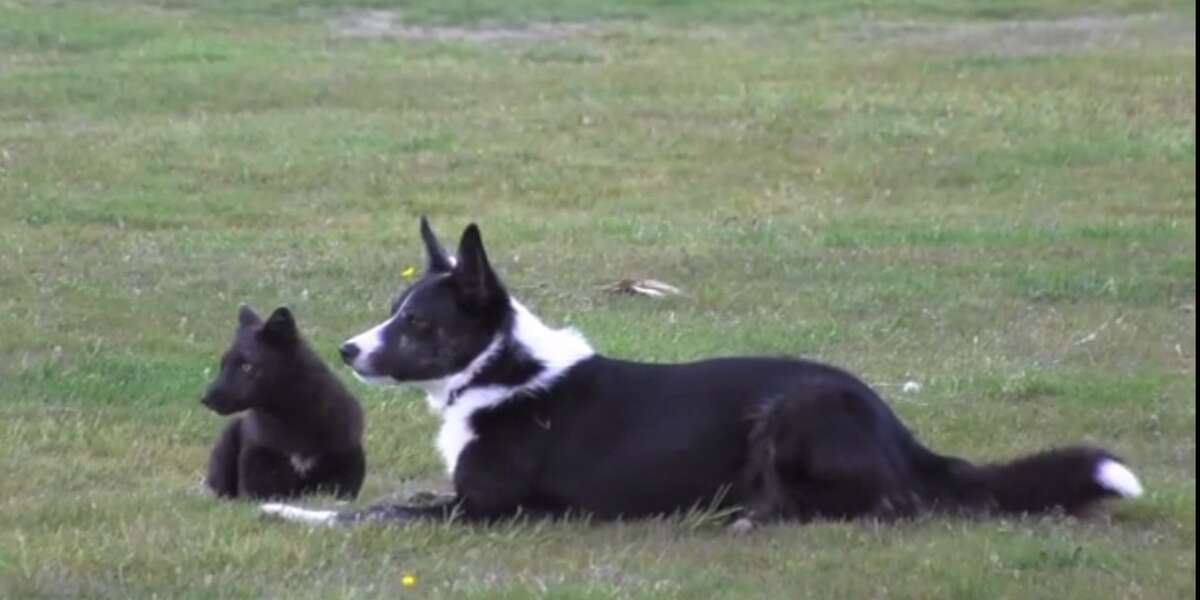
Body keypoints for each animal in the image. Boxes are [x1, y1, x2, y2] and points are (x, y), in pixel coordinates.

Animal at [202, 307, 364, 499]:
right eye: (223, 365)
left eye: (246, 367)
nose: (205, 399)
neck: (293, 419)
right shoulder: (259, 474)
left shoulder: (344, 470)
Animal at [262, 219, 1142, 525]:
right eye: (394, 308)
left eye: (417, 323)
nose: (347, 350)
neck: (501, 370)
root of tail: (901, 430)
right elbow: (387, 501)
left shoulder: (486, 512)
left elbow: (370, 515)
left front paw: (284, 510)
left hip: (793, 412)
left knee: (881, 507)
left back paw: (749, 517)